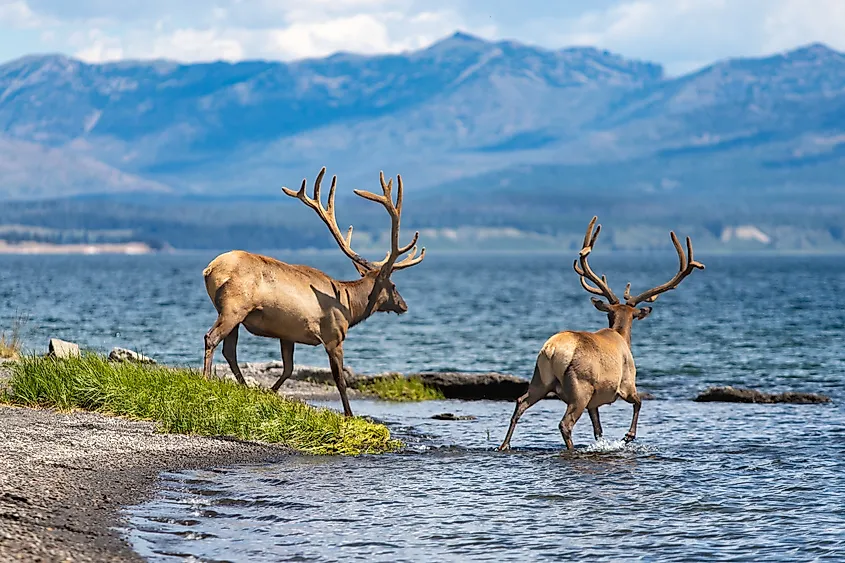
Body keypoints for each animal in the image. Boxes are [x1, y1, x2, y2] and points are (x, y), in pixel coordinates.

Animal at [201, 167, 425, 417]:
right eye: (394, 286)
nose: (404, 305)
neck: (350, 308)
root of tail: (210, 269)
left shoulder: (287, 334)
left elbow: (288, 369)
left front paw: (269, 392)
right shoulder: (333, 336)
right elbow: (339, 380)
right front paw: (349, 414)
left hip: (233, 313)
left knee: (229, 350)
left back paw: (243, 386)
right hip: (234, 307)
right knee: (211, 338)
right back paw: (206, 379)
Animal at [498, 216, 704, 451]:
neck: (621, 337)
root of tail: (552, 350)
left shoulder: (593, 404)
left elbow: (598, 430)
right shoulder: (626, 383)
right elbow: (639, 402)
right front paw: (628, 436)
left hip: (540, 378)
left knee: (520, 402)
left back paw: (504, 445)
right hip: (580, 388)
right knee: (565, 423)